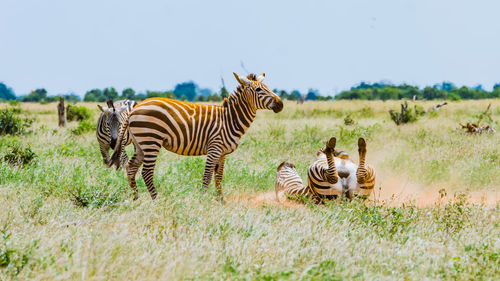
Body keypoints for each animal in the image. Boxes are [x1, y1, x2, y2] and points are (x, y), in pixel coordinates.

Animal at [108, 71, 284, 200]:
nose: (281, 104)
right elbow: (207, 177)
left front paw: (221, 201)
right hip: (151, 140)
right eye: (259, 90)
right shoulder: (214, 148)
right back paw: (156, 200)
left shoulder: (222, 153)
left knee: (131, 168)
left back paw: (136, 198)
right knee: (146, 172)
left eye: (268, 87)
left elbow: (218, 178)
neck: (230, 119)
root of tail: (134, 110)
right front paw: (203, 200)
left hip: (140, 144)